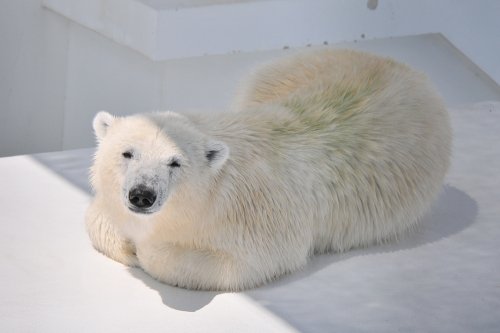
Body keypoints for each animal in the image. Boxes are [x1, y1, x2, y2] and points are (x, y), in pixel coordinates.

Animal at [86, 48, 454, 290]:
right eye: (127, 153)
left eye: (175, 162)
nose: (142, 195)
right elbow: (96, 217)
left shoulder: (260, 215)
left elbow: (246, 263)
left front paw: (146, 249)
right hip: (283, 72)